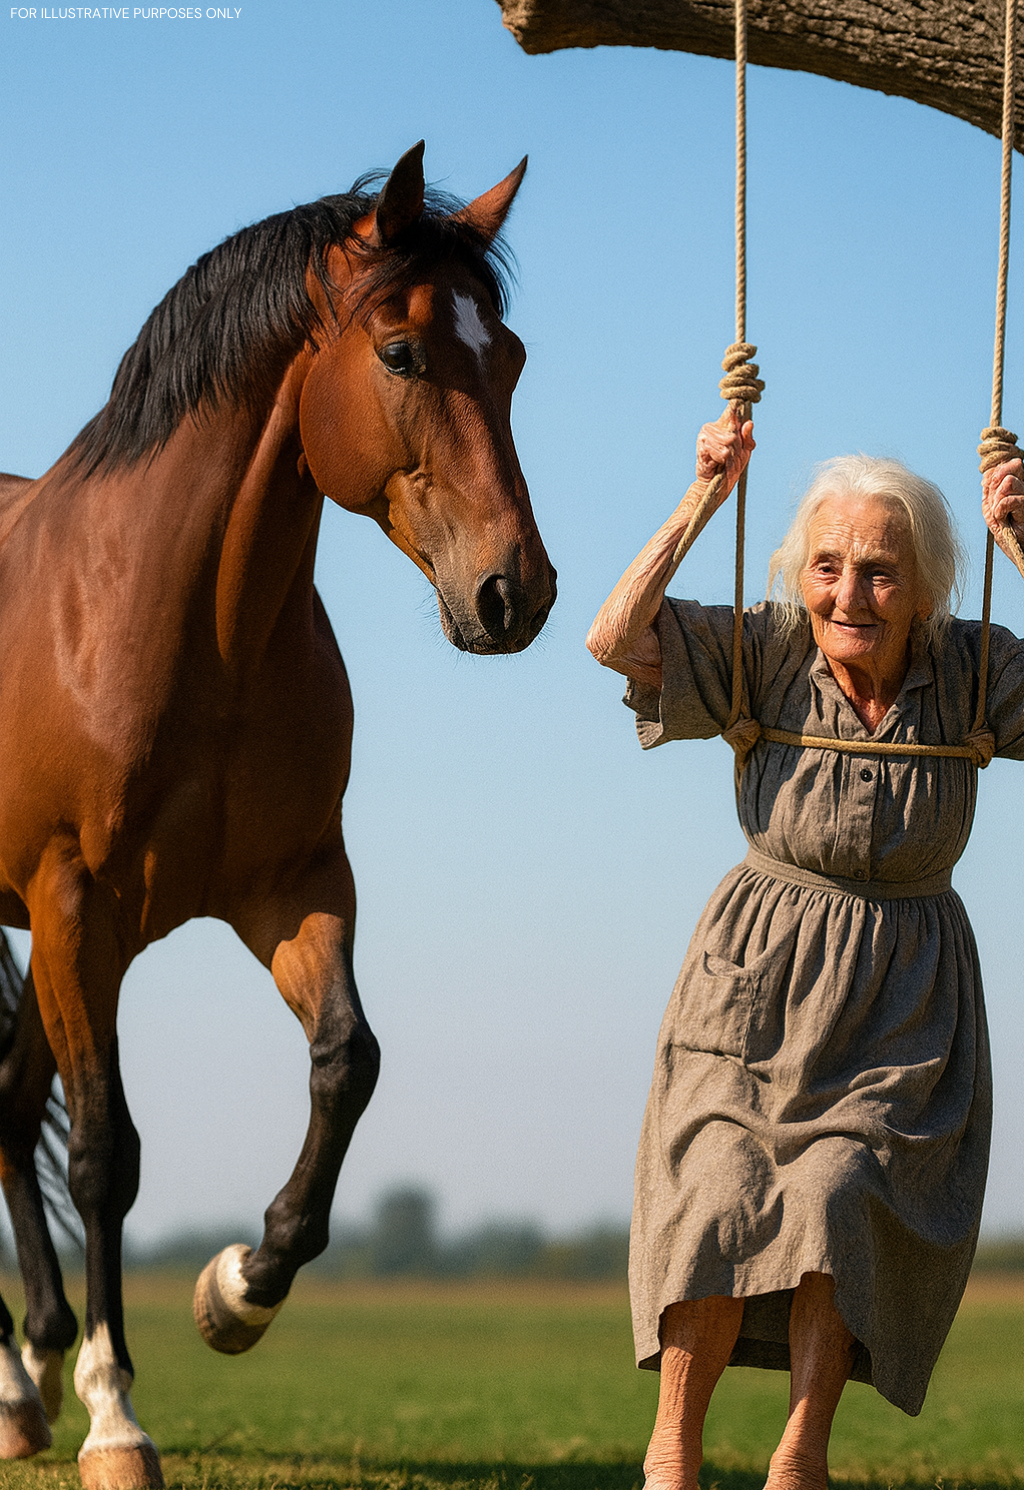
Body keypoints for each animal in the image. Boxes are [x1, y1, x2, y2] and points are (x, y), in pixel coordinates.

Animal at [0, 141, 555, 1490]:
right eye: (402, 352)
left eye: (510, 355)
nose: (514, 593)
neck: (181, 621)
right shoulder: (78, 910)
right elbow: (105, 1151)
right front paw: (116, 1415)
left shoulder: (292, 886)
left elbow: (347, 1060)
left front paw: (238, 1290)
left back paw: (25, 1376)